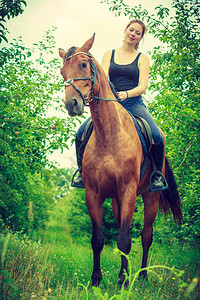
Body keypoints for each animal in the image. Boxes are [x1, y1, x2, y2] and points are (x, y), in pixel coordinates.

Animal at [58, 35, 183, 288]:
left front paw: (124, 281)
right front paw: (97, 280)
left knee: (146, 236)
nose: (72, 104)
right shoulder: (93, 193)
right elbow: (99, 239)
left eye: (84, 65)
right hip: (116, 200)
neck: (109, 134)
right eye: (62, 71)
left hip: (150, 197)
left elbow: (125, 240)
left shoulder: (128, 191)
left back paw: (142, 275)